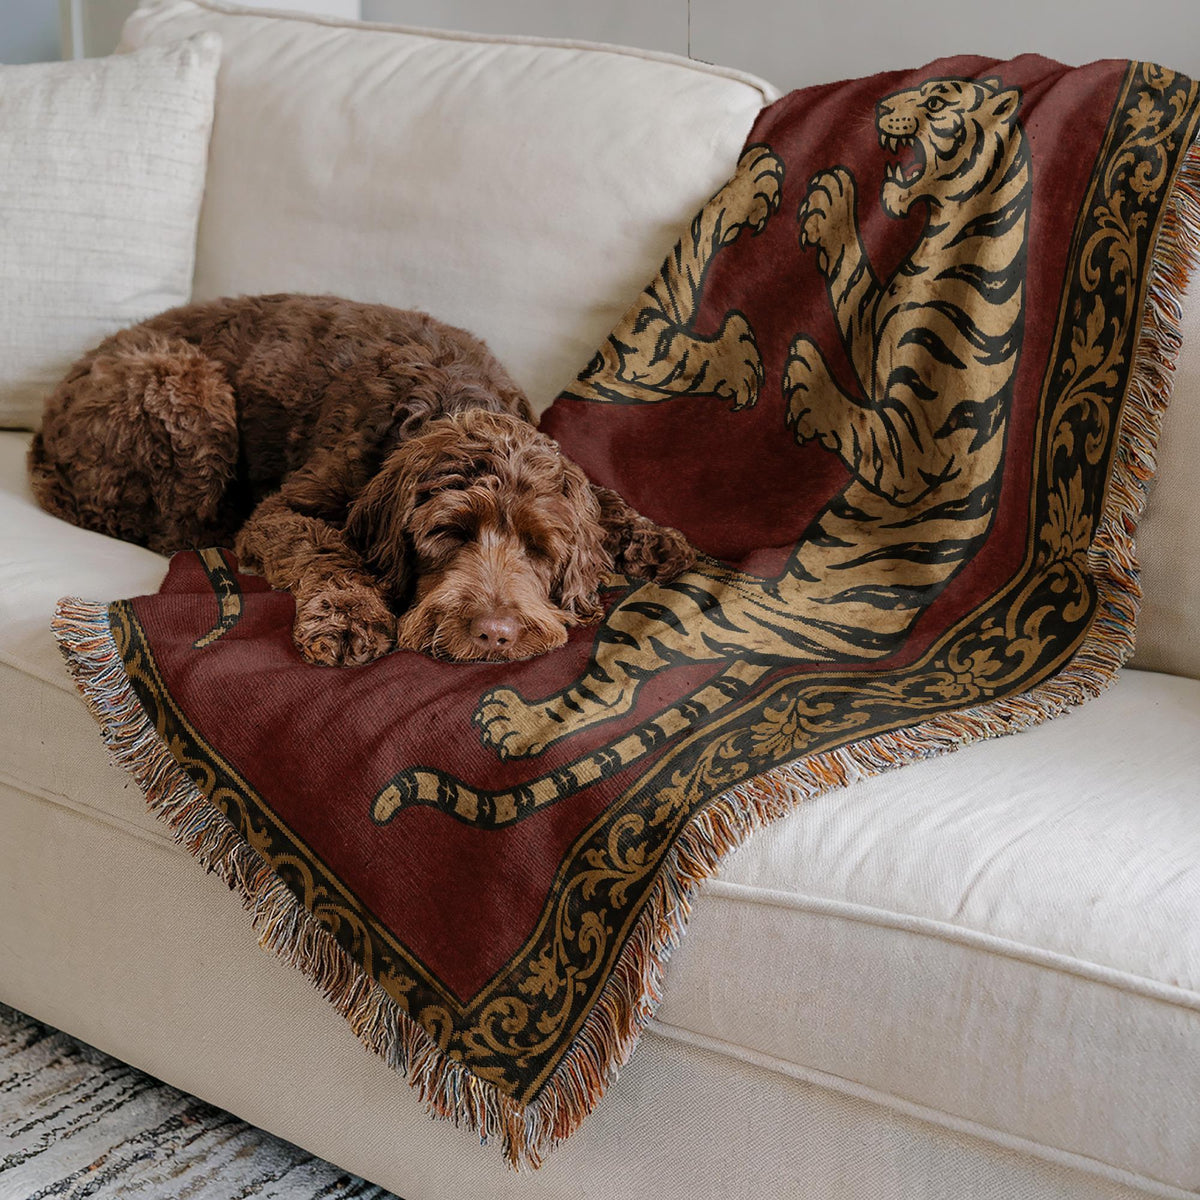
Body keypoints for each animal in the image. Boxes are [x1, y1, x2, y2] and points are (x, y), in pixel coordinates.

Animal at [373, 77, 1032, 828]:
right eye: (448, 534)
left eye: (941, 97)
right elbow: (846, 292)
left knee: (612, 693)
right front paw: (808, 212)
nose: (889, 114)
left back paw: (519, 719)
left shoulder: (903, 434)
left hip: (667, 614)